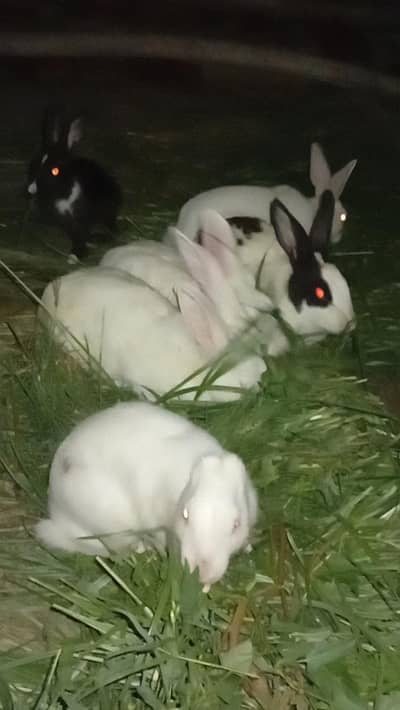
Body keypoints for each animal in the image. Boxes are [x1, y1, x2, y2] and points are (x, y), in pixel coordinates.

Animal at [27, 104, 122, 262]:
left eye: (55, 171)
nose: (31, 189)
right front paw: (77, 253)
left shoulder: (82, 218)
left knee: (110, 225)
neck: (64, 192)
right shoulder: (67, 221)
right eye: (35, 163)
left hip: (108, 209)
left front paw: (76, 255)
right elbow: (76, 235)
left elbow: (81, 235)